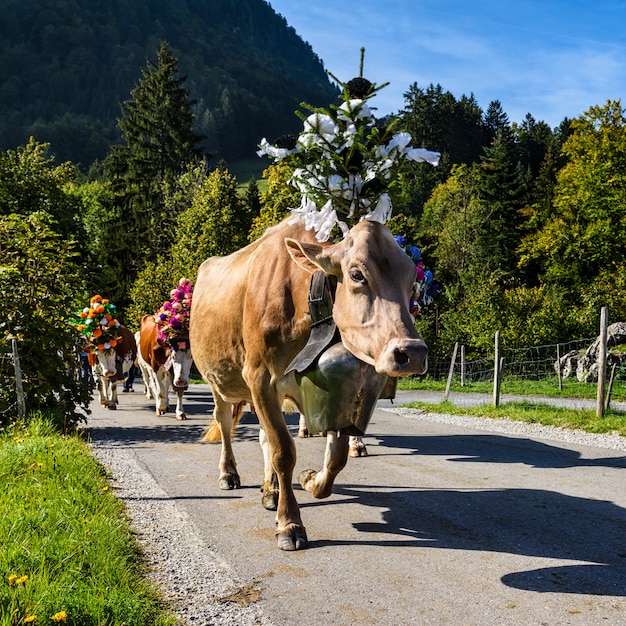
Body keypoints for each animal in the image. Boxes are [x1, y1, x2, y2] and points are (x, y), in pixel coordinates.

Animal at [188, 217, 426, 548]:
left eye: (412, 280)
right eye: (356, 274)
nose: (413, 352)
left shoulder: (337, 391)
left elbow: (335, 458)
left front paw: (309, 480)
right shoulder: (259, 377)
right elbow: (283, 451)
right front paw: (290, 524)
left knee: (263, 436)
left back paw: (271, 490)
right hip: (218, 381)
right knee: (224, 423)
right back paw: (229, 474)